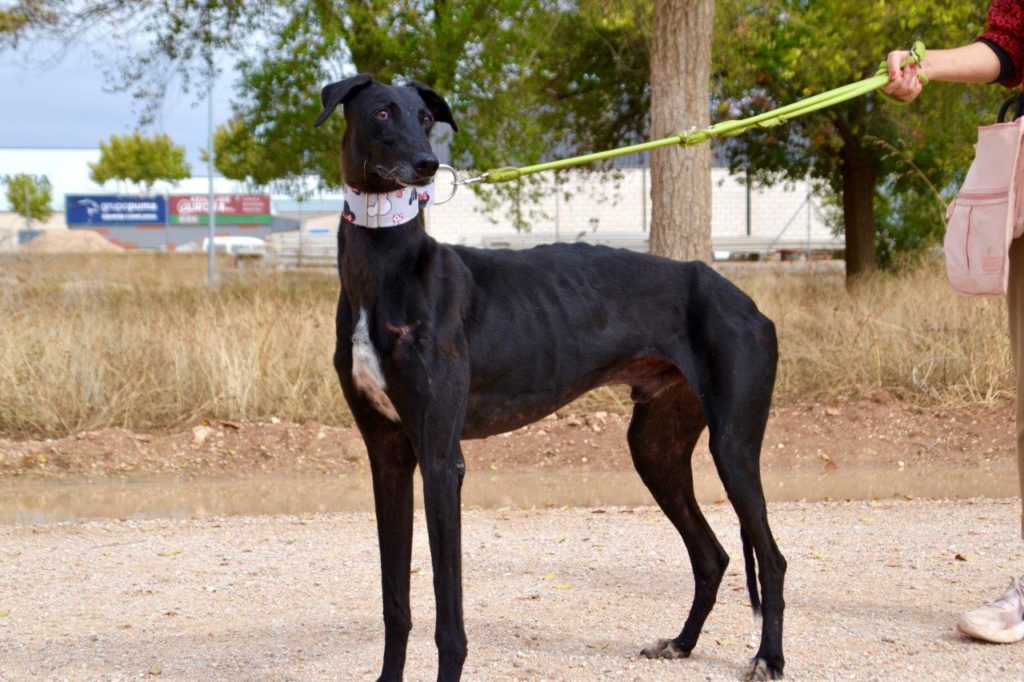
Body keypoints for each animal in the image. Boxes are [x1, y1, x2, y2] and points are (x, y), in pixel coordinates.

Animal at [315, 71, 786, 675]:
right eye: (380, 113)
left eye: (423, 118)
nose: (426, 166)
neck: (386, 268)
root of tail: (748, 303)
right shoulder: (389, 456)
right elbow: (395, 601)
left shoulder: (441, 459)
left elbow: (449, 619)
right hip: (656, 447)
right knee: (714, 555)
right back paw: (680, 643)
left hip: (733, 444)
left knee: (770, 558)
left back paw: (769, 658)